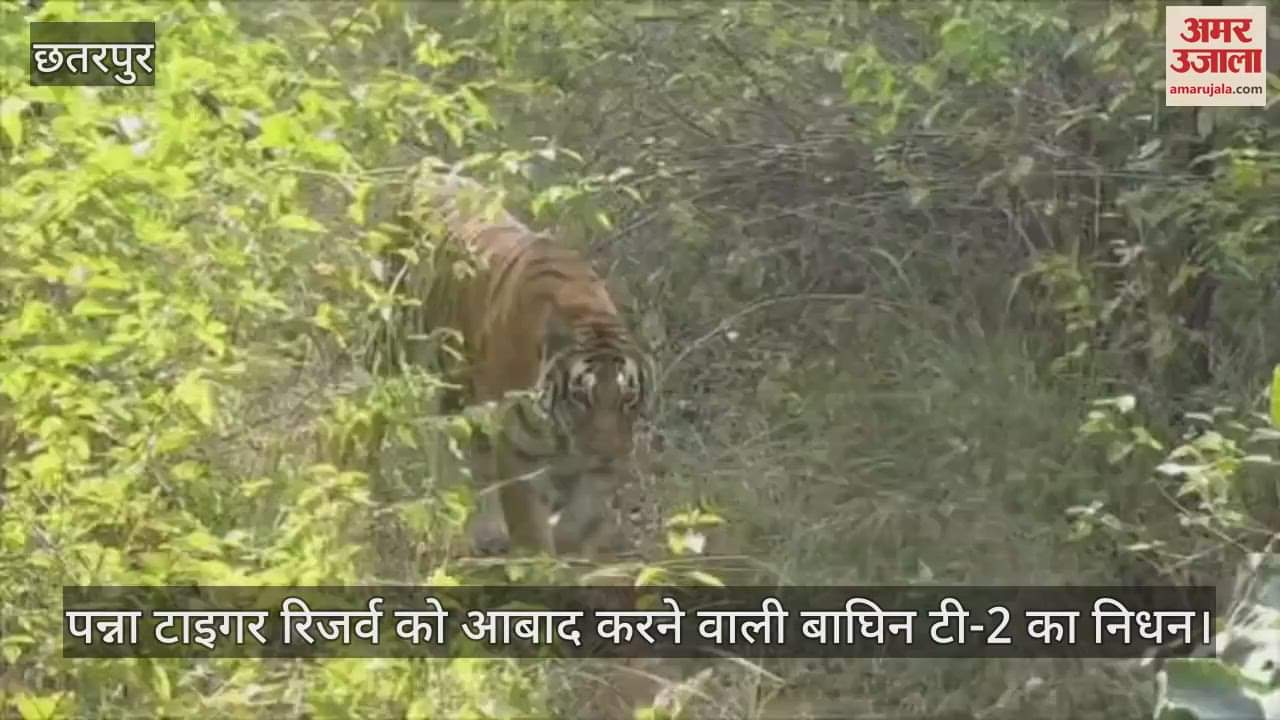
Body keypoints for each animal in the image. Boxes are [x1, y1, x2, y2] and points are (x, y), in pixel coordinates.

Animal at [371, 161, 656, 556]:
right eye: (581, 397)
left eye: (628, 398)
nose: (608, 453)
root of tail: (427, 171)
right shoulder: (516, 447)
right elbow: (529, 525)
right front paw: (537, 561)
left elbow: (582, 516)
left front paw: (570, 542)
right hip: (391, 338)